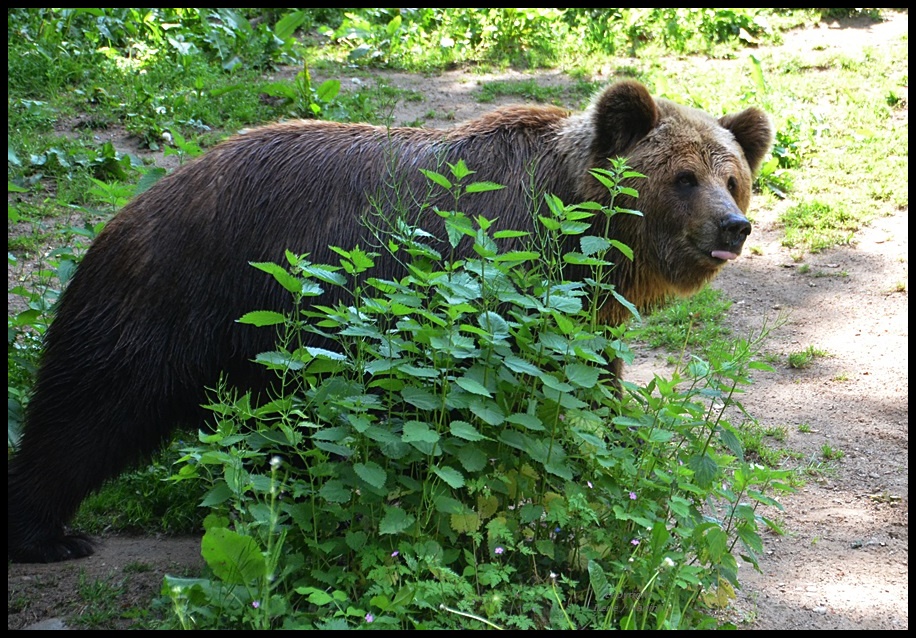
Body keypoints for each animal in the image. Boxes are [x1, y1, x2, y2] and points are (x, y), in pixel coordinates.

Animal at [7, 81, 768, 564]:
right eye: (682, 177)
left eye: (731, 176)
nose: (733, 226)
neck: (578, 227)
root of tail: (132, 203)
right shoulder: (500, 278)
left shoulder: (572, 310)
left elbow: (585, 392)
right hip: (179, 292)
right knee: (93, 405)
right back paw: (48, 532)